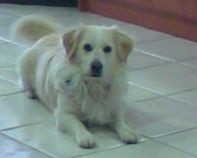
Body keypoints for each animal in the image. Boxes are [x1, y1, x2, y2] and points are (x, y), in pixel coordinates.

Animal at [12, 15, 139, 148]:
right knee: (24, 83)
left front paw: (128, 132)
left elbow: (120, 122)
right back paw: (31, 93)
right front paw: (85, 136)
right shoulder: (63, 114)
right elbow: (78, 124)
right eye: (87, 47)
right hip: (24, 64)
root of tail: (48, 36)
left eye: (108, 49)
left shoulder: (114, 109)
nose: (96, 66)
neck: (93, 85)